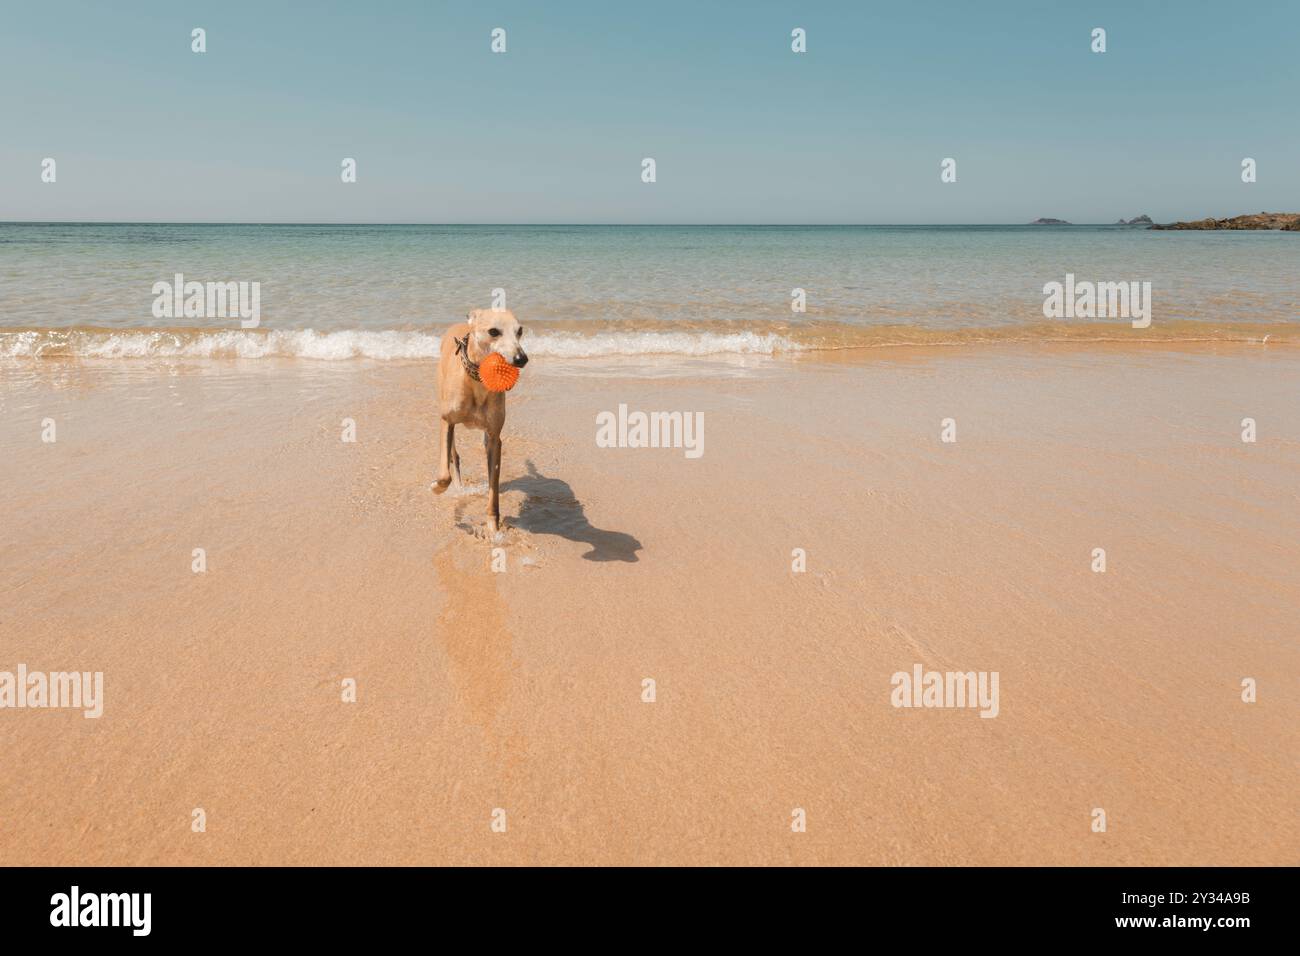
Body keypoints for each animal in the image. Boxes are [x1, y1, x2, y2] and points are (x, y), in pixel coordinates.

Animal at [428, 310, 525, 530]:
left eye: (520, 331)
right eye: (493, 331)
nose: (521, 358)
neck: (477, 382)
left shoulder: (495, 437)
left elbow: (493, 489)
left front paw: (493, 527)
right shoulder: (446, 421)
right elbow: (444, 475)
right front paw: (436, 487)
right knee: (454, 456)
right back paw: (458, 488)